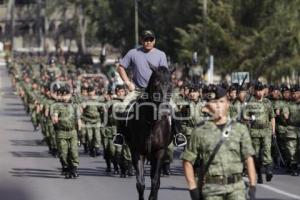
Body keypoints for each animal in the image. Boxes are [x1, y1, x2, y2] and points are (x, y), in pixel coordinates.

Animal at [121, 66, 173, 199]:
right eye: (156, 83)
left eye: (171, 84)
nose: (165, 111)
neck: (152, 122)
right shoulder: (137, 152)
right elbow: (140, 184)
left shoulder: (160, 151)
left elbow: (155, 182)